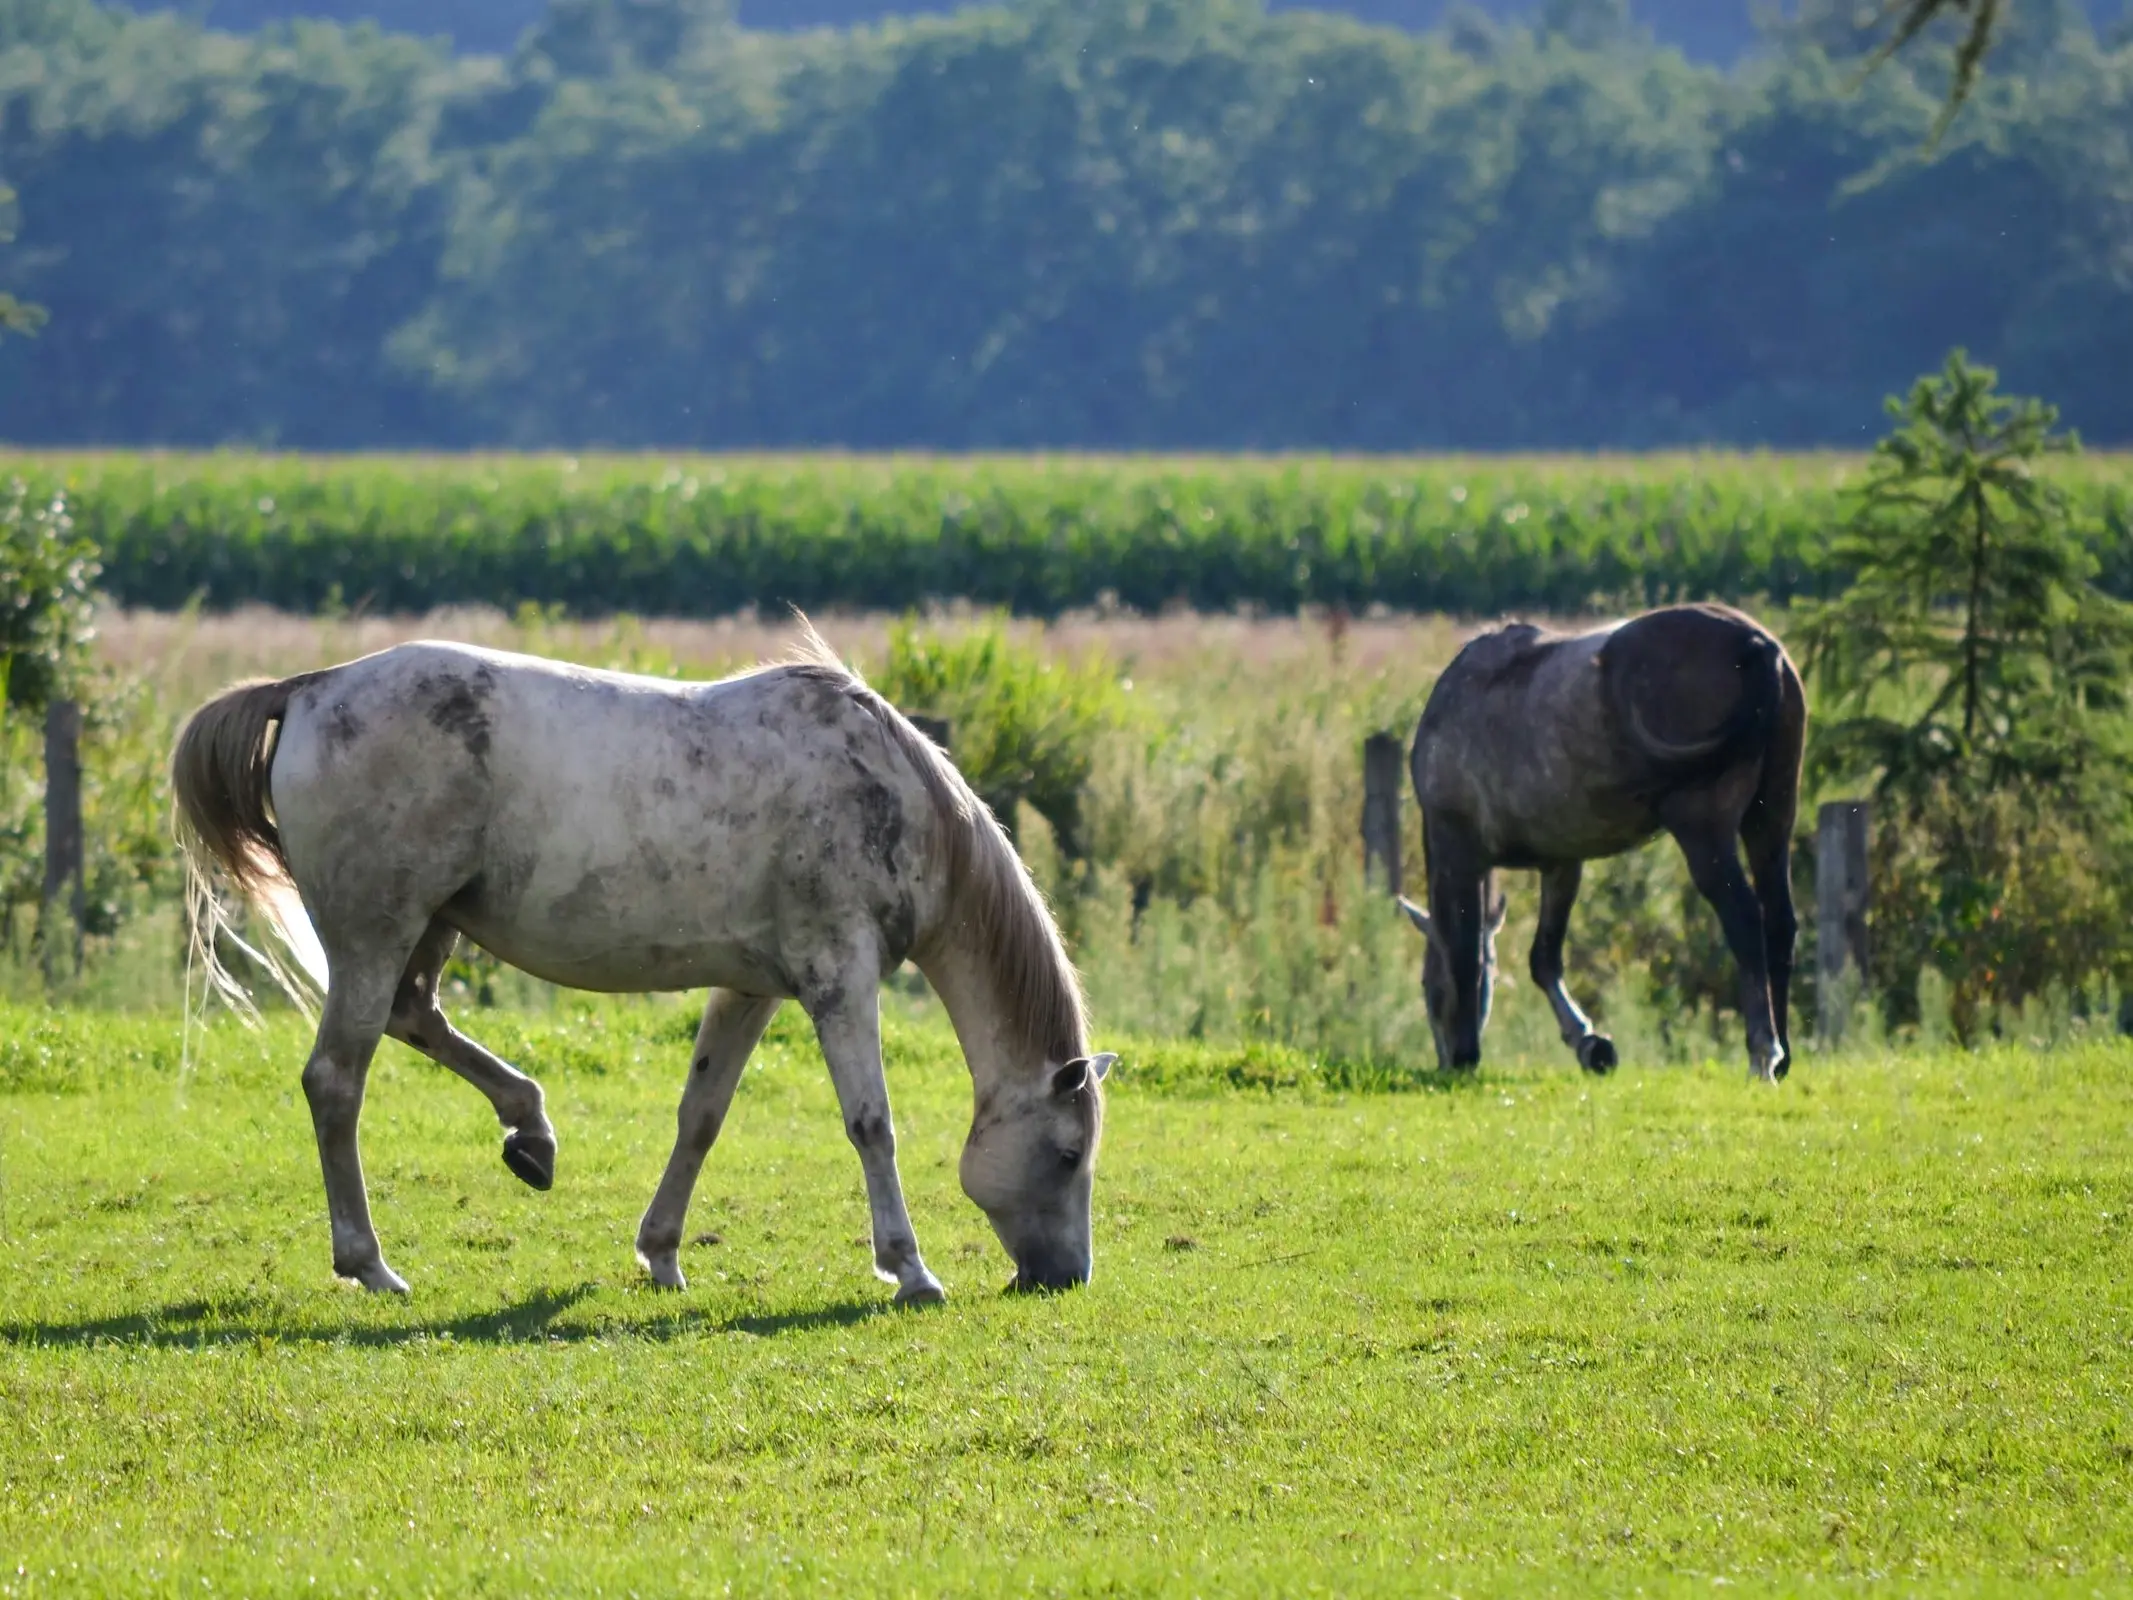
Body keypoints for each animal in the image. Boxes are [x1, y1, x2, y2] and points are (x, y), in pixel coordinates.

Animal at [166, 627, 1117, 1305]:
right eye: (1068, 1153)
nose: (1065, 1277)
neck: (891, 796)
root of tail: (310, 689)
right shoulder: (838, 980)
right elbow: (870, 1123)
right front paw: (909, 1270)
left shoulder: (750, 989)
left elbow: (701, 1116)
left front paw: (660, 1255)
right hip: (377, 934)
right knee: (336, 1081)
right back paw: (369, 1263)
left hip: (428, 930)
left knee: (417, 1017)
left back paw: (530, 1132)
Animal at [1399, 605, 1800, 1083]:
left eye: (1425, 985)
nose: (1443, 1059)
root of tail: (1756, 645)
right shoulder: (1561, 864)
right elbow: (1543, 959)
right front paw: (1591, 1045)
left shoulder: (1457, 854)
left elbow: (1465, 954)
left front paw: (1466, 1055)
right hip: (1771, 821)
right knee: (1779, 921)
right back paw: (1784, 1056)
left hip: (1705, 831)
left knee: (1743, 919)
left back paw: (1763, 1051)